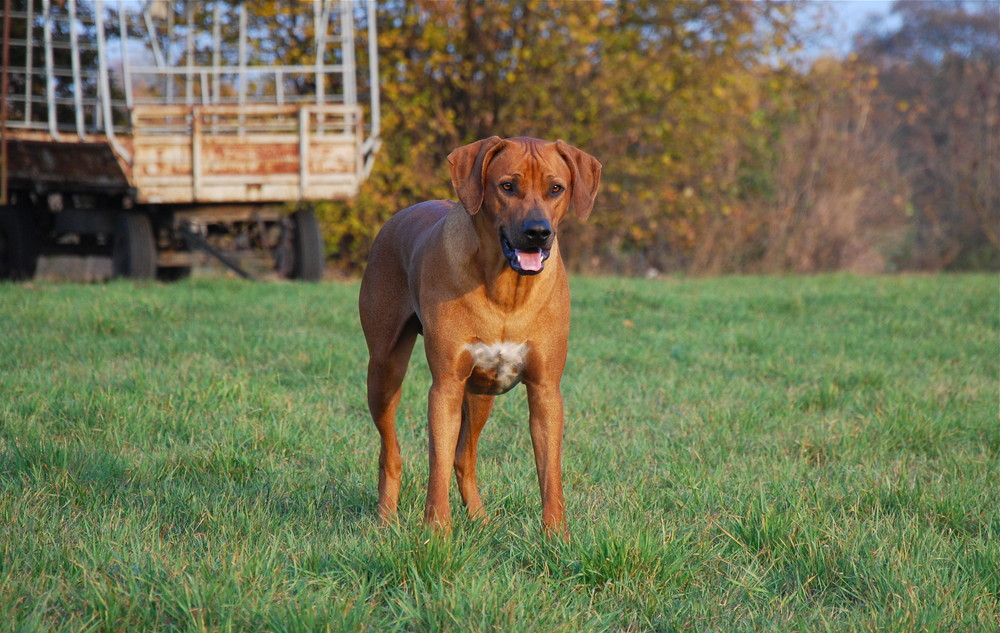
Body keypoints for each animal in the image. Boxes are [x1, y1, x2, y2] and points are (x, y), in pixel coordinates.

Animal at [358, 137, 596, 532]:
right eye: (507, 186)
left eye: (556, 188)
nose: (538, 232)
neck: (507, 288)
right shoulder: (446, 386)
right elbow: (436, 467)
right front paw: (437, 533)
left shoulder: (546, 390)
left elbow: (550, 474)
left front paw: (556, 536)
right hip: (384, 371)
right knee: (390, 451)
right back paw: (385, 519)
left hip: (482, 392)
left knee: (463, 458)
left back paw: (481, 520)